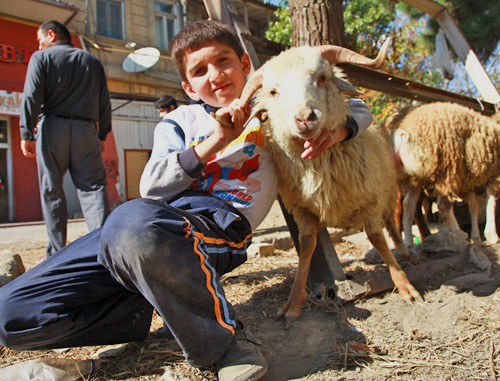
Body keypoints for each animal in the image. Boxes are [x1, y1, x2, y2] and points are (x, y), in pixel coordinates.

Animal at [215, 40, 422, 320]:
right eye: (273, 92)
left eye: (322, 77)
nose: (305, 118)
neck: (319, 164)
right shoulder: (302, 209)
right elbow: (306, 247)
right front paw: (293, 302)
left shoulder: (369, 201)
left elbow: (377, 238)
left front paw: (405, 287)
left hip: (387, 193)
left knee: (392, 225)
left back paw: (406, 254)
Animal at [390, 102, 500, 246]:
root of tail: (401, 133)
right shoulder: (493, 175)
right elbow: (491, 203)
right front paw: (491, 235)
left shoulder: (467, 183)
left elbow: (473, 207)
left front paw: (476, 237)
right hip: (445, 169)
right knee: (443, 205)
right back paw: (457, 234)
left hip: (415, 178)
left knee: (408, 206)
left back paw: (408, 242)